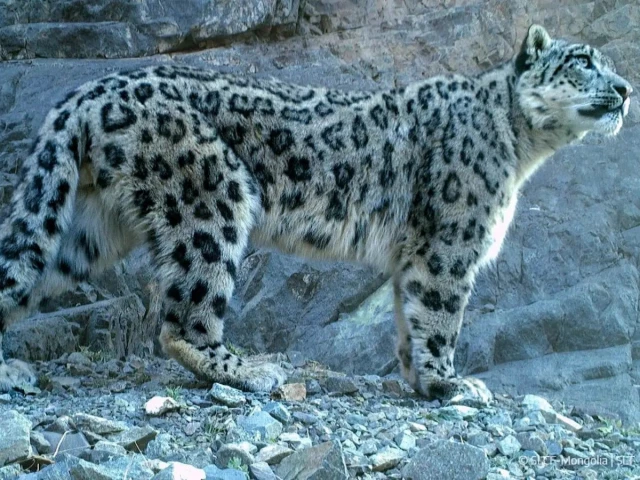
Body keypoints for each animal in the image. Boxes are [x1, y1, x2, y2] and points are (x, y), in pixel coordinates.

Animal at [0, 25, 632, 402]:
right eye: (582, 62)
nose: (626, 88)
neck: (525, 150)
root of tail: (91, 89)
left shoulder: (415, 253)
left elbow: (408, 317)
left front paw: (417, 380)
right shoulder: (449, 244)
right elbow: (440, 315)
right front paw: (449, 385)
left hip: (85, 229)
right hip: (215, 196)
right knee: (184, 317)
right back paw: (247, 369)